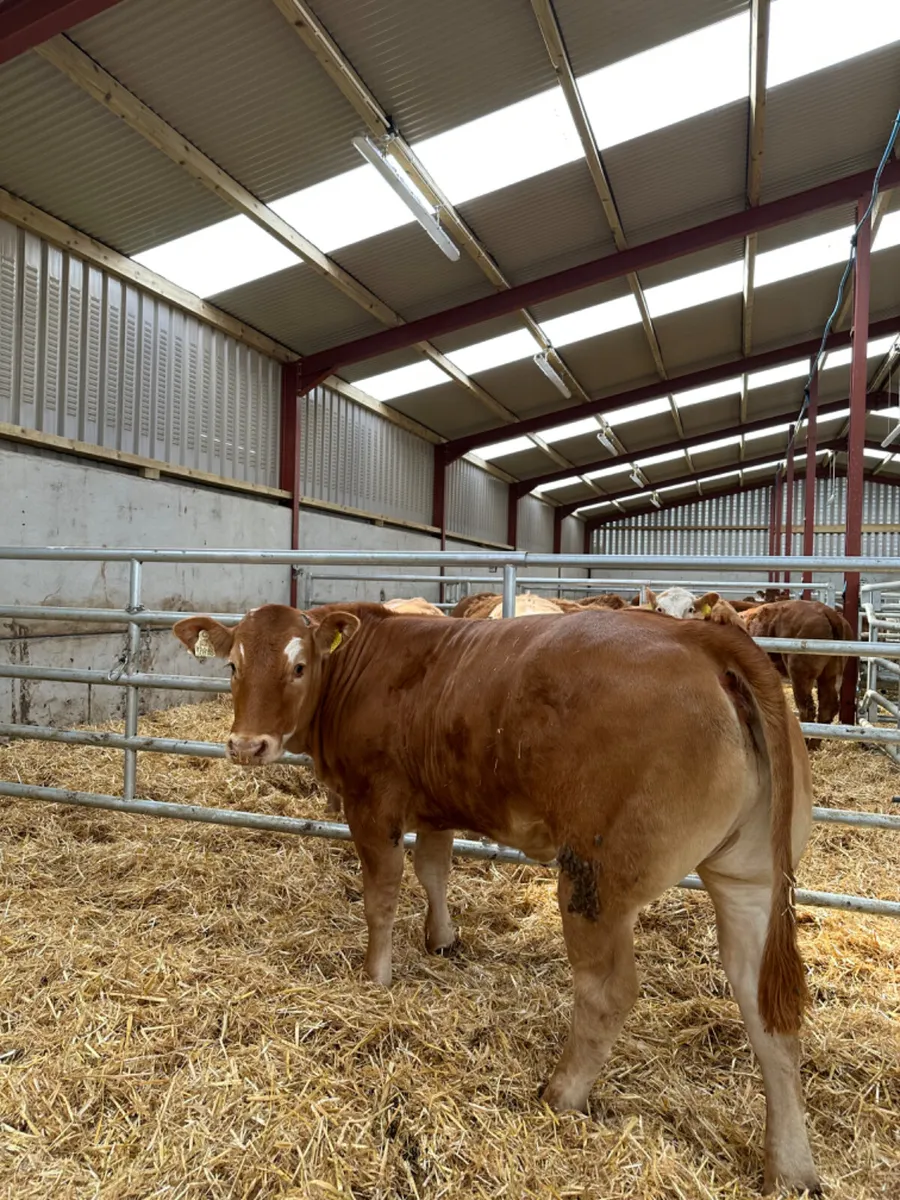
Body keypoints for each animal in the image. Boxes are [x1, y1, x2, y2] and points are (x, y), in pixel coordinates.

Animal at [173, 603, 820, 1195]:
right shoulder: (434, 803)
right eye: (232, 665)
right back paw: (790, 1167)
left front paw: (376, 976)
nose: (247, 745)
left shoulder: (373, 802)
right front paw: (441, 939)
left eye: (300, 665)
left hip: (596, 877)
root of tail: (700, 637)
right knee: (766, 1010)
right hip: (749, 879)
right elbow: (434, 869)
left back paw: (560, 1093)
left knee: (608, 992)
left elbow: (382, 894)